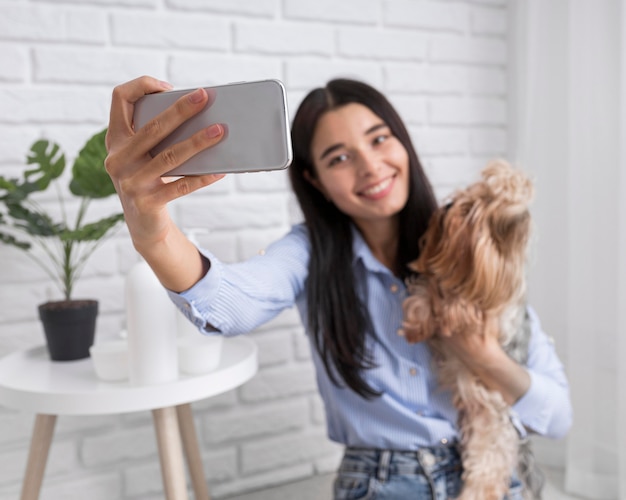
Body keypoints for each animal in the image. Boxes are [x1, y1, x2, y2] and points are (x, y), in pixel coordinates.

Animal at [402, 160, 540, 500]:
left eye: (467, 211)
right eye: (458, 198)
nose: (447, 206)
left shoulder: (490, 308)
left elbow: (464, 307)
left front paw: (453, 310)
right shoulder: (434, 284)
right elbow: (424, 293)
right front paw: (418, 323)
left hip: (493, 421)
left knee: (490, 466)